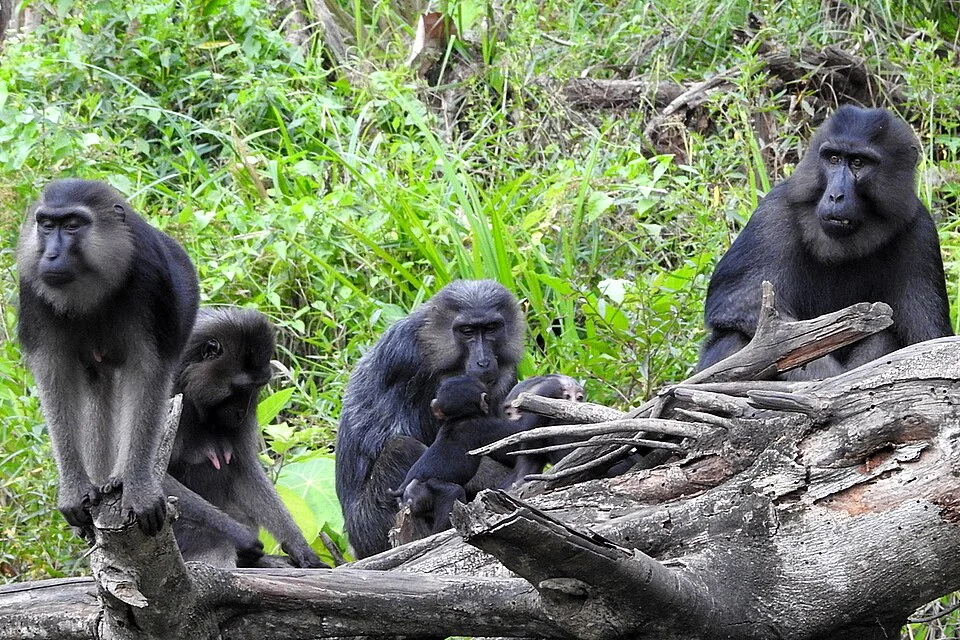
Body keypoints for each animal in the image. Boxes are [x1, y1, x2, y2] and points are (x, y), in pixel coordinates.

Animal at [16, 178, 199, 536]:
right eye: (47, 225)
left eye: (73, 225)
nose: (51, 254)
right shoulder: (32, 289)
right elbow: (54, 378)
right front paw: (74, 491)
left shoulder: (150, 280)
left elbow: (148, 373)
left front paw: (137, 487)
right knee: (96, 384)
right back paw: (101, 482)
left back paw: (117, 479)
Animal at [164, 307, 327, 568]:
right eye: (240, 388)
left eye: (256, 387)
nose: (241, 412)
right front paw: (240, 535)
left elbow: (244, 470)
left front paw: (299, 546)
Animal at [336, 279, 525, 558]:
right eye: (467, 331)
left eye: (490, 328)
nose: (483, 361)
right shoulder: (409, 361)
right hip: (370, 528)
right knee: (403, 448)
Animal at [699, 106, 951, 379]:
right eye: (833, 159)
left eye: (858, 162)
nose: (836, 196)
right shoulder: (772, 217)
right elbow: (745, 307)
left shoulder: (921, 234)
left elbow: (927, 341)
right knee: (734, 338)